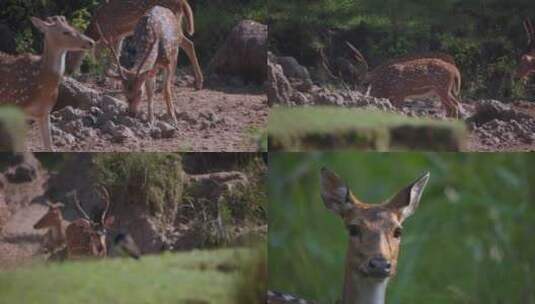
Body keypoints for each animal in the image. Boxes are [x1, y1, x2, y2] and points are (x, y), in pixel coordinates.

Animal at [0, 16, 95, 150]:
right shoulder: (16, 106)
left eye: (72, 26)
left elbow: (49, 146)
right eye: (65, 32)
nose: (91, 42)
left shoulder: (45, 112)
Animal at [65, 0, 203, 89]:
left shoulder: (108, 34)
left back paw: (196, 82)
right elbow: (115, 56)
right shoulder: (118, 36)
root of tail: (183, 3)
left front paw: (110, 81)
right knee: (187, 43)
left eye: (69, 54)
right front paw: (114, 81)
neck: (96, 28)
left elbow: (102, 56)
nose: (68, 71)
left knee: (186, 44)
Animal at [328, 42, 462, 118]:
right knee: (454, 105)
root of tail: (456, 71)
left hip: (442, 87)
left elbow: (397, 111)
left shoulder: (400, 93)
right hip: (445, 90)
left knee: (453, 106)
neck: (385, 86)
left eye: (364, 83)